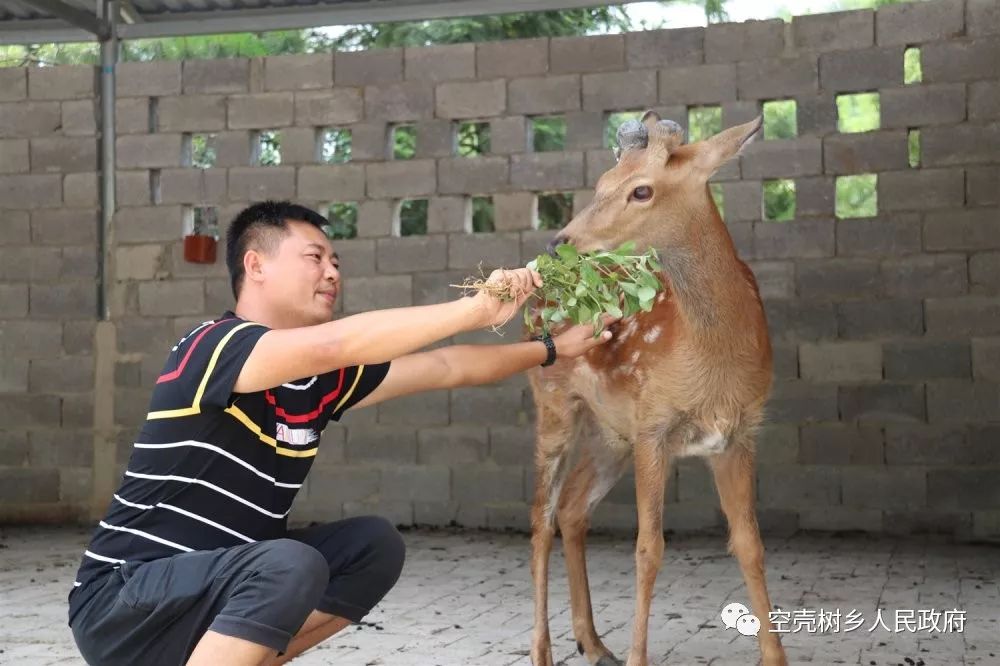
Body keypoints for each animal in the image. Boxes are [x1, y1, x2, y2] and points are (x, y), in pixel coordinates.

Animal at [524, 110, 788, 664]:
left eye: (641, 190)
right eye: (602, 182)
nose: (558, 243)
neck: (714, 360)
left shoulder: (740, 434)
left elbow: (749, 543)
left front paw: (776, 657)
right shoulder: (655, 426)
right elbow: (649, 548)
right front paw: (637, 657)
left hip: (611, 433)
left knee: (573, 508)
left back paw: (593, 642)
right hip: (555, 404)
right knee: (541, 516)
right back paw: (543, 651)